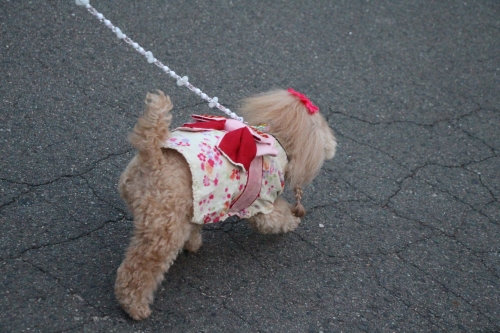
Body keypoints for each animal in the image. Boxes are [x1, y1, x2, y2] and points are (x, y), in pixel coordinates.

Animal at [115, 88, 338, 320]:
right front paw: (293, 222)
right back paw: (134, 306)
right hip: (163, 229)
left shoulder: (197, 205)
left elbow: (194, 227)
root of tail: (153, 159)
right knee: (138, 270)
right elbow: (275, 219)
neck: (278, 142)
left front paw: (193, 243)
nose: (333, 147)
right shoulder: (263, 203)